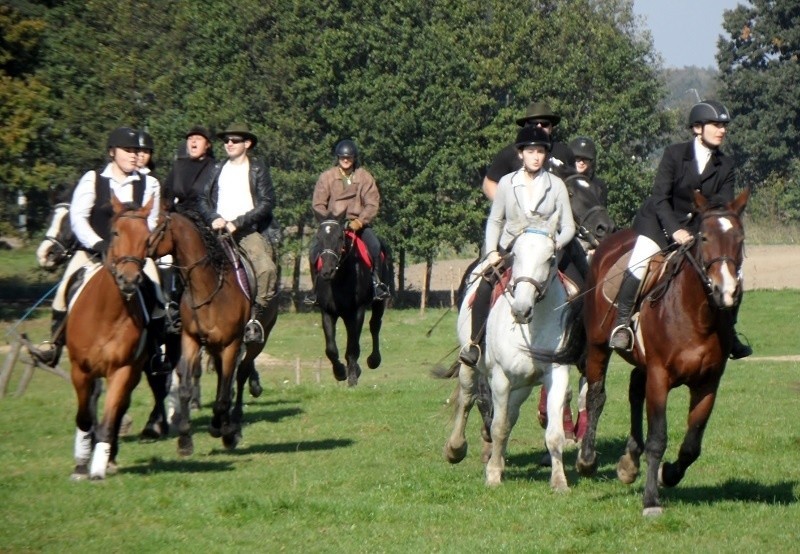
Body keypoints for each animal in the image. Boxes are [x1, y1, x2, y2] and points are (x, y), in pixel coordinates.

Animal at [68, 195, 155, 478]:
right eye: (116, 233)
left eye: (147, 238)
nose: (128, 280)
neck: (105, 314)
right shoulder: (80, 369)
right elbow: (84, 417)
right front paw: (81, 464)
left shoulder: (122, 369)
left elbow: (109, 419)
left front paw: (98, 467)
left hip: (134, 371)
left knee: (119, 410)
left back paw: (110, 457)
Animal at [145, 207, 280, 452]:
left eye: (160, 228)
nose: (143, 248)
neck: (208, 290)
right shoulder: (191, 340)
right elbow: (187, 388)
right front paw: (185, 440)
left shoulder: (232, 344)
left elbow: (225, 393)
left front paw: (224, 431)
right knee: (223, 378)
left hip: (254, 343)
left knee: (240, 375)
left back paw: (234, 424)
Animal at [310, 216, 392, 384]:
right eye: (319, 238)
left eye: (340, 237)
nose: (327, 271)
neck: (339, 279)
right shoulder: (327, 312)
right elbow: (331, 350)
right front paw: (340, 372)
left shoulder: (357, 311)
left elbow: (353, 346)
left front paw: (353, 377)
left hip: (378, 303)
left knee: (374, 325)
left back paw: (373, 360)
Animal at [444, 211, 580, 488]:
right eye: (516, 255)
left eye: (550, 258)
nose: (521, 309)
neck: (531, 328)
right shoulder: (500, 378)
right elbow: (498, 427)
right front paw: (494, 474)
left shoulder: (556, 373)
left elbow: (553, 433)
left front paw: (559, 481)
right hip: (470, 365)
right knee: (467, 399)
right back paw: (456, 449)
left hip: (522, 386)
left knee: (510, 414)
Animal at [576, 187, 752, 512]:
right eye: (704, 237)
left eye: (740, 238)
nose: (726, 291)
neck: (697, 316)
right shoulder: (660, 376)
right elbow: (658, 437)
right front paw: (650, 500)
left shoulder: (708, 384)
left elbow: (692, 445)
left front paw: (667, 474)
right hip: (597, 346)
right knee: (596, 395)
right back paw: (587, 460)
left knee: (634, 387)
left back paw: (629, 462)